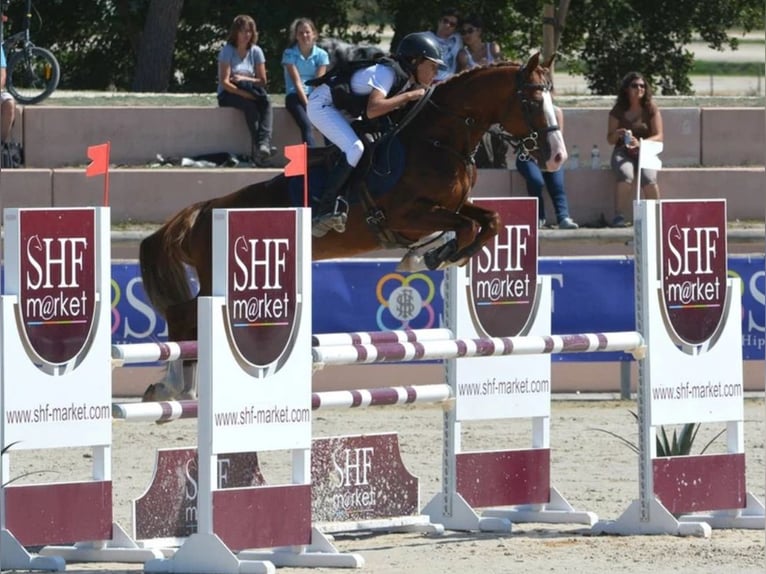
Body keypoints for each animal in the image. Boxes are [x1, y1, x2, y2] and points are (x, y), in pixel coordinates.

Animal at [141, 53, 568, 400]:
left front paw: (439, 255)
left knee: (190, 317)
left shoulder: (451, 206)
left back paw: (183, 387)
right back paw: (171, 386)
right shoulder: (407, 215)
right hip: (222, 280)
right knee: (184, 315)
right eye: (532, 101)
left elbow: (489, 221)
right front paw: (439, 255)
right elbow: (463, 227)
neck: (438, 141)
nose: (556, 157)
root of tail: (204, 210)